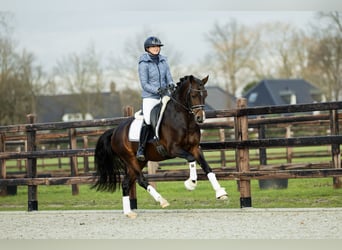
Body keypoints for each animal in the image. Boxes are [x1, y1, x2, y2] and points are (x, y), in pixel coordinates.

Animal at [92, 75, 228, 218]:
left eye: (205, 94)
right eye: (193, 95)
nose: (200, 118)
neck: (183, 119)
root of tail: (115, 131)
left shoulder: (195, 148)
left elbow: (207, 168)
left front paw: (220, 193)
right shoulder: (173, 149)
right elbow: (191, 159)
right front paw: (190, 183)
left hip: (139, 161)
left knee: (126, 183)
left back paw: (129, 212)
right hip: (130, 159)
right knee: (141, 180)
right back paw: (161, 200)